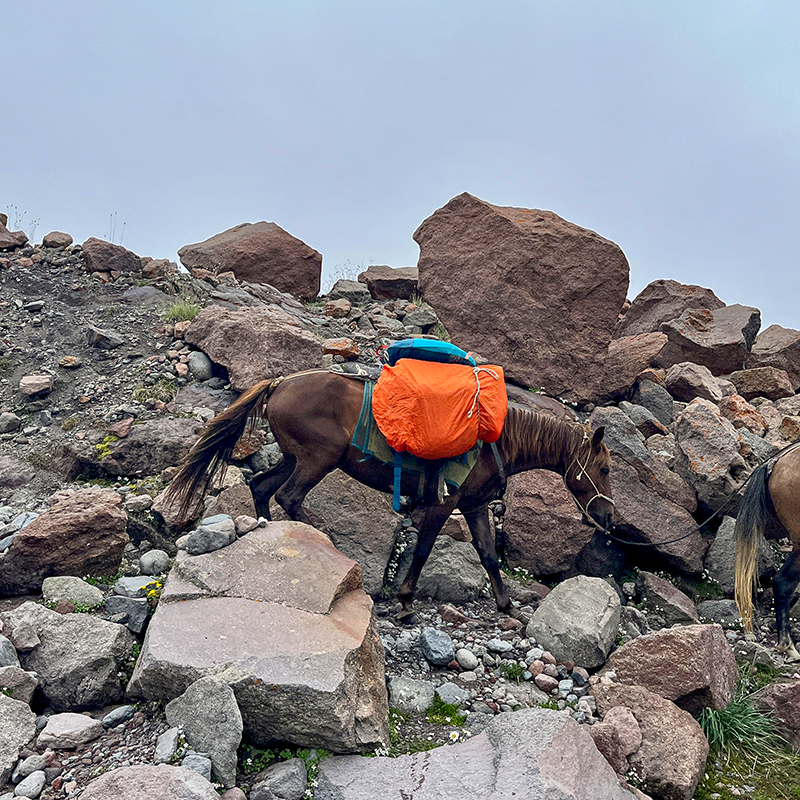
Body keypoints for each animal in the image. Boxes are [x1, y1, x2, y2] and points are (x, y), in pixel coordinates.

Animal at [166, 368, 608, 620]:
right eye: (603, 469)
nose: (607, 516)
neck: (493, 439)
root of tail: (280, 384)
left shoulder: (475, 507)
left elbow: (487, 555)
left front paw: (504, 605)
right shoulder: (443, 504)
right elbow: (424, 551)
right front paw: (407, 602)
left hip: (294, 459)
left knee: (262, 487)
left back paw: (269, 527)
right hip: (316, 460)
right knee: (290, 497)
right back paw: (328, 543)